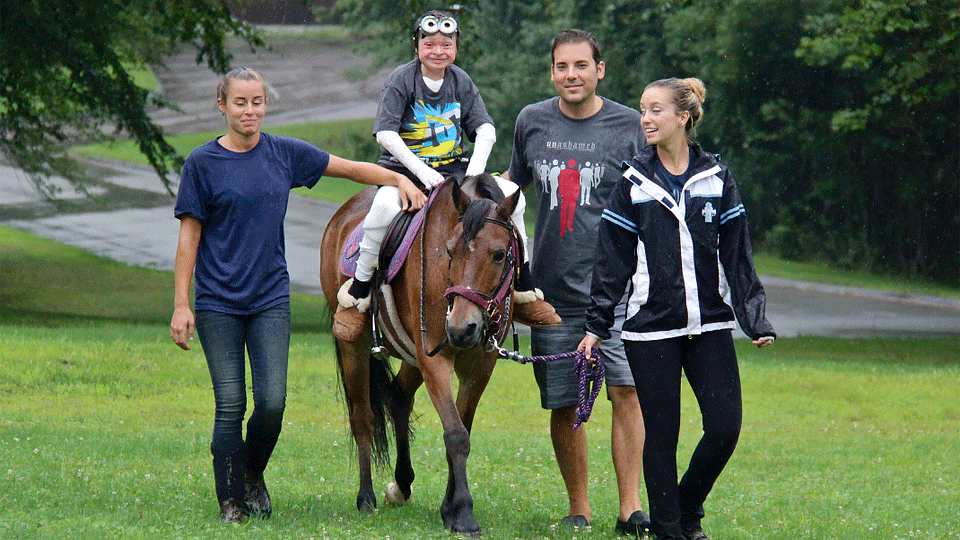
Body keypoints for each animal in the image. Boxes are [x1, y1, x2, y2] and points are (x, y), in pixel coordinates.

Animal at [318, 174, 520, 536]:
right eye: (451, 251)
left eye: (499, 255)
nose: (461, 328)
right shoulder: (434, 360)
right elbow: (455, 435)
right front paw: (463, 513)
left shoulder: (479, 366)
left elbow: (463, 428)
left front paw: (449, 508)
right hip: (355, 348)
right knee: (363, 418)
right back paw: (366, 497)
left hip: (413, 355)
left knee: (399, 397)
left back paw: (402, 482)